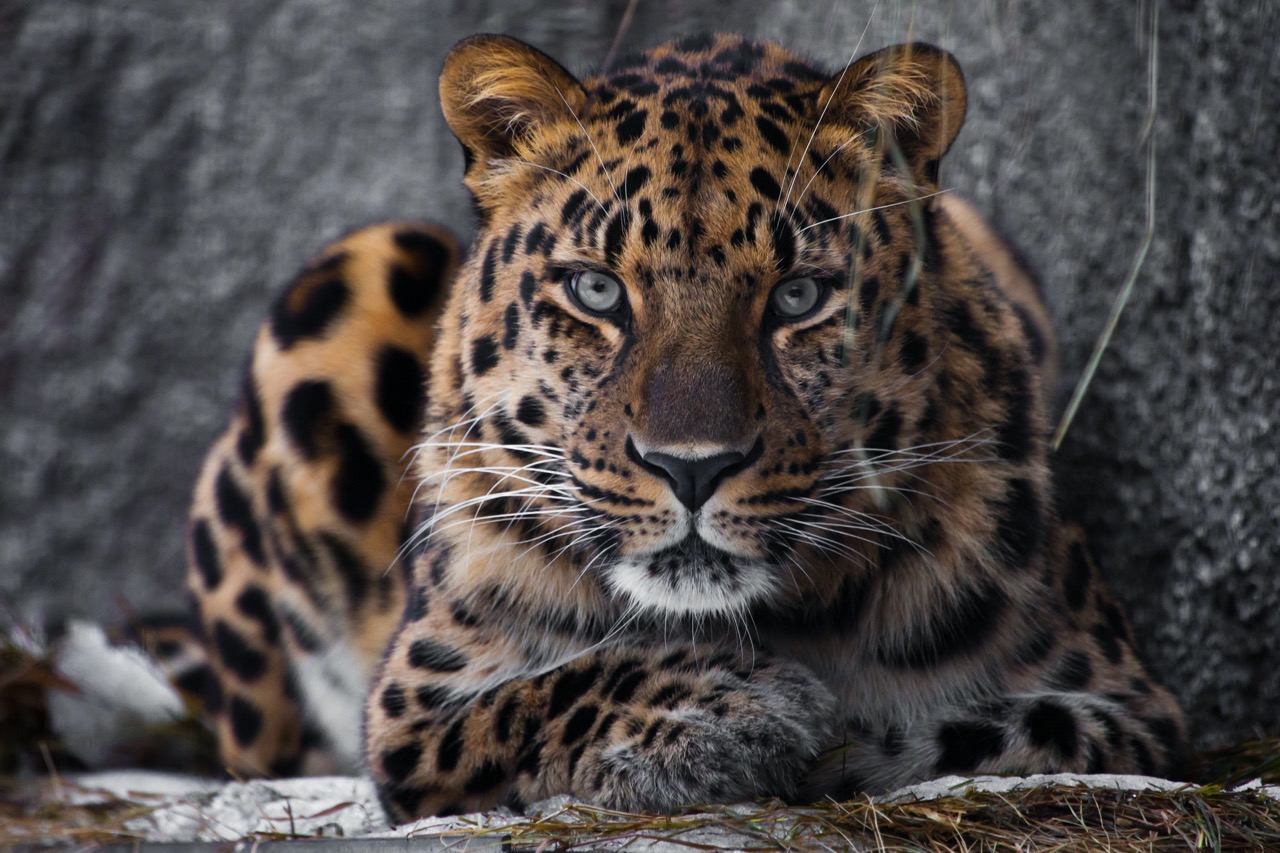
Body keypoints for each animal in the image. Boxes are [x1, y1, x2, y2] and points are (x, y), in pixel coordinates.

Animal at [185, 31, 1182, 819]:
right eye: (596, 290)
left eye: (799, 297)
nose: (692, 467)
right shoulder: (411, 706)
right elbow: (541, 693)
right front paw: (717, 716)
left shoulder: (1135, 713)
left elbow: (970, 731)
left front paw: (812, 729)